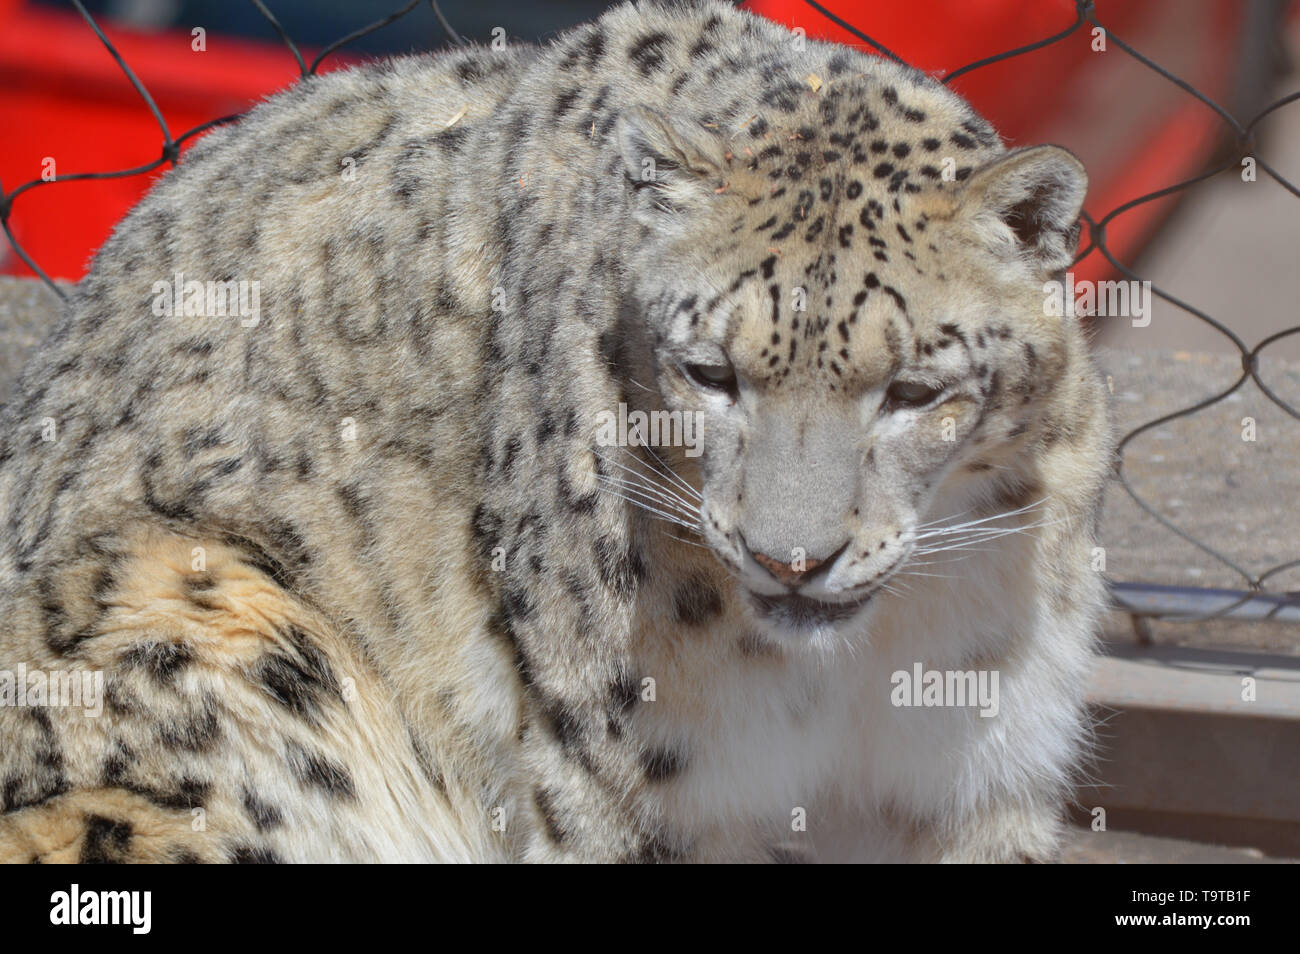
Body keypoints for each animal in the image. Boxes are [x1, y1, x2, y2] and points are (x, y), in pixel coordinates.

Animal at [0, 0, 1111, 862]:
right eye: (710, 372)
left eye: (914, 390)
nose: (789, 560)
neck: (853, 677)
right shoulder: (634, 773)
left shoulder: (979, 765)